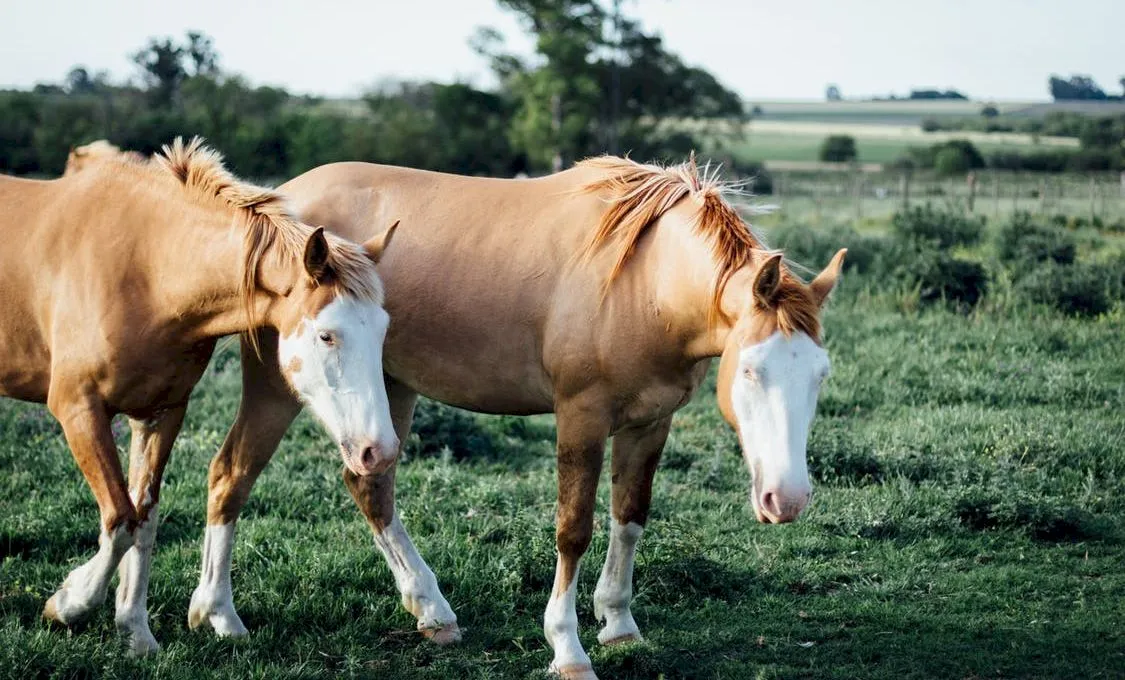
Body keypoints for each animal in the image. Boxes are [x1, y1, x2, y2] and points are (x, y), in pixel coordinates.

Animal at [0, 136, 402, 652]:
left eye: (383, 330)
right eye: (327, 335)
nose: (380, 451)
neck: (145, 268)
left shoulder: (161, 413)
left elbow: (144, 518)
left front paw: (136, 632)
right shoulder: (79, 409)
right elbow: (120, 520)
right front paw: (69, 604)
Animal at [191, 155, 846, 680]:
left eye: (820, 374)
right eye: (751, 371)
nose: (786, 500)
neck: (646, 281)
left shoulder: (650, 422)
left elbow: (630, 517)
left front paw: (619, 623)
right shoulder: (581, 415)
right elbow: (574, 529)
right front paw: (568, 649)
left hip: (388, 389)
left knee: (369, 484)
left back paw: (431, 611)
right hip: (277, 387)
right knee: (231, 474)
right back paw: (218, 614)